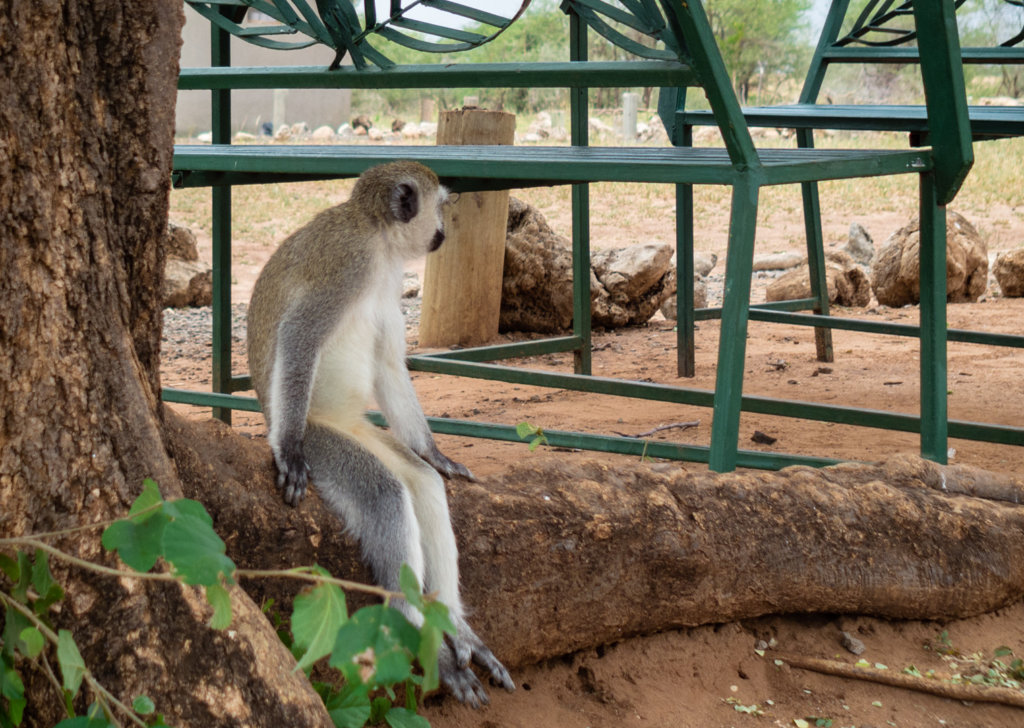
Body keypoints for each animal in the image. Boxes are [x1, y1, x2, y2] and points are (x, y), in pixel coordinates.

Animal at [246, 161, 514, 707]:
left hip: (368, 435)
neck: (377, 237)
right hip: (327, 443)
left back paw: (456, 628)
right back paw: (431, 647)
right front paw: (287, 450)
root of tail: (344, 426)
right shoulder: (348, 265)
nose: (442, 232)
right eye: (439, 206)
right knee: (386, 495)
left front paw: (435, 451)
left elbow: (390, 364)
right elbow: (300, 334)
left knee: (422, 485)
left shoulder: (388, 281)